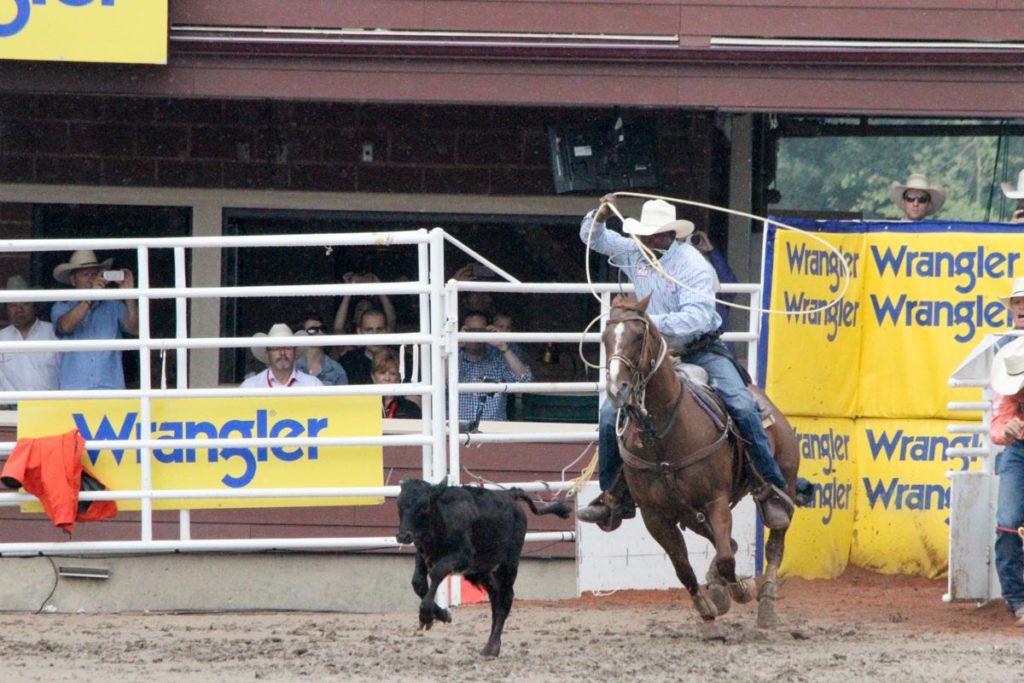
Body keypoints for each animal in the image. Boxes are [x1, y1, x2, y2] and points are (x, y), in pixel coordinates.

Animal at [393, 479, 573, 655]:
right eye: (399, 503)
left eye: (424, 506)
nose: (403, 536)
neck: (443, 519)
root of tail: (510, 494)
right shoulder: (423, 552)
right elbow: (418, 583)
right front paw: (442, 614)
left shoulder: (462, 557)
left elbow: (437, 573)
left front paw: (426, 615)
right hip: (482, 571)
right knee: (495, 597)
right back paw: (492, 643)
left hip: (508, 565)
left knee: (505, 598)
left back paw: (492, 647)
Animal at [598, 296, 798, 638]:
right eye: (605, 338)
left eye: (638, 336)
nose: (616, 389)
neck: (663, 434)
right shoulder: (655, 515)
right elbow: (683, 566)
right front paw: (708, 609)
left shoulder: (715, 500)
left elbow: (728, 558)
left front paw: (738, 591)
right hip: (688, 512)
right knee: (721, 541)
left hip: (785, 481)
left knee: (775, 541)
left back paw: (767, 605)